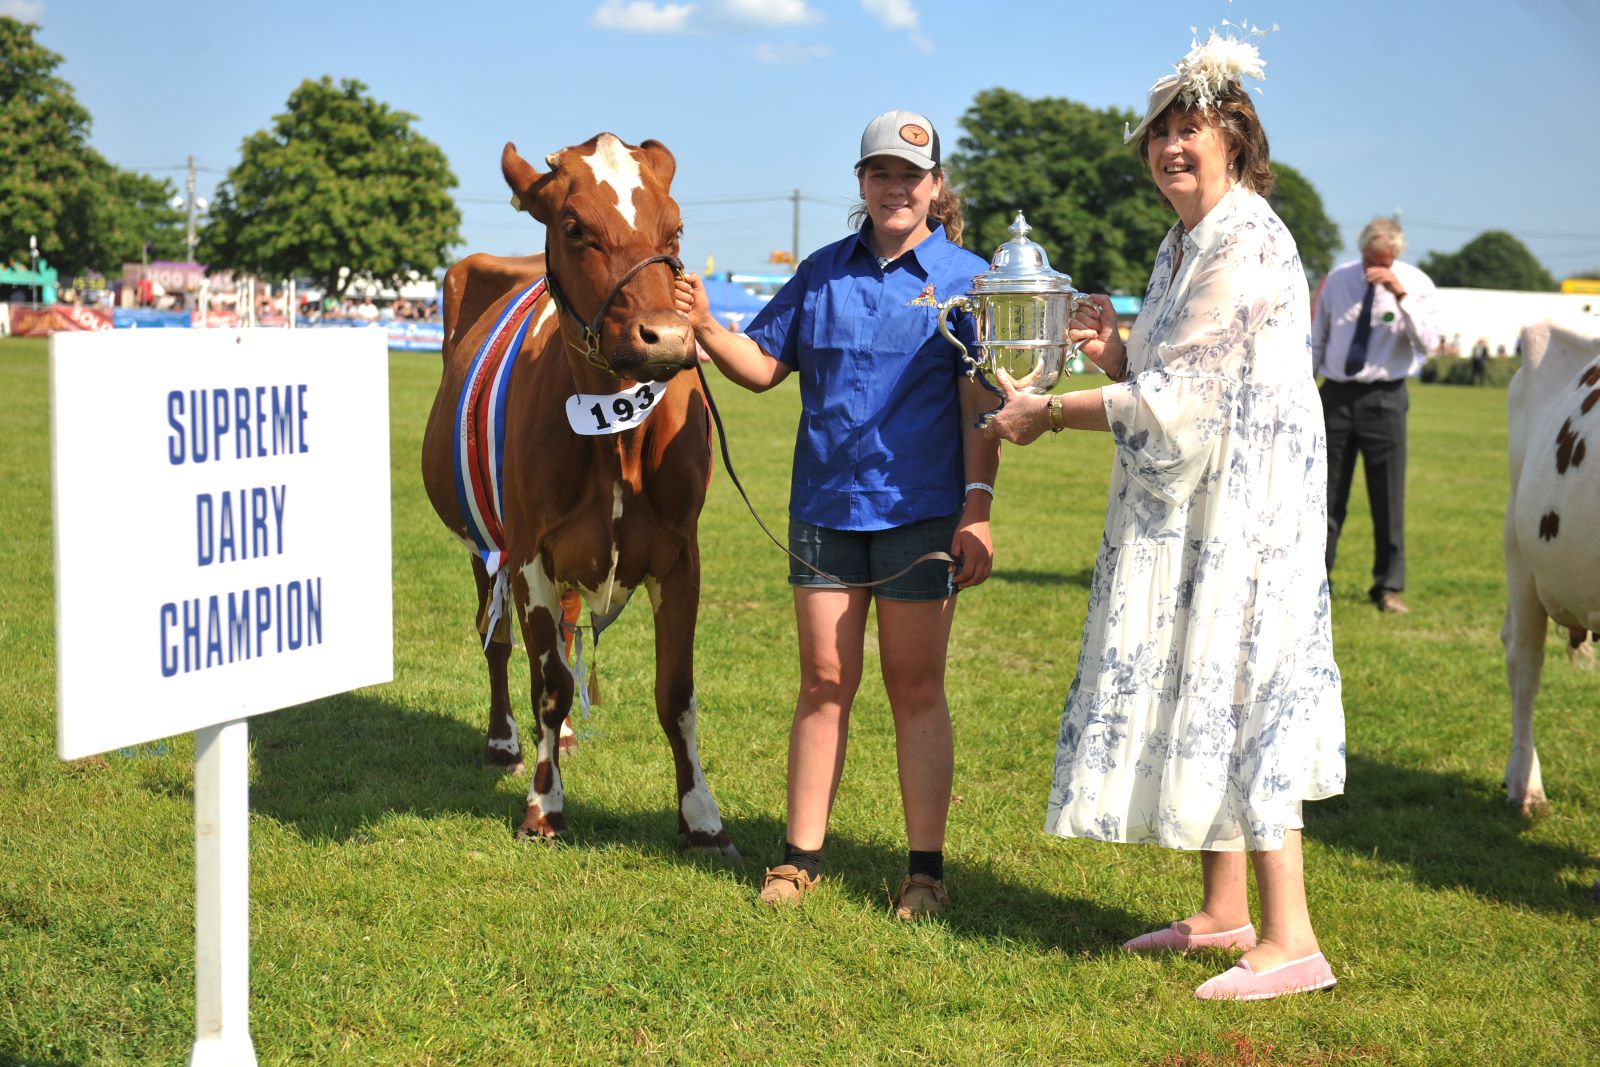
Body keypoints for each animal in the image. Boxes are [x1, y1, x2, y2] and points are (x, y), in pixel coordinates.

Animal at [416, 131, 732, 857]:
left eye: (675, 227)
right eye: (573, 226)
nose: (666, 337)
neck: (615, 439)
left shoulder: (682, 555)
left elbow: (676, 692)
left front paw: (701, 817)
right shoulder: (530, 552)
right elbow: (552, 683)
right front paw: (543, 804)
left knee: (558, 634)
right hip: (485, 544)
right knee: (503, 644)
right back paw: (507, 740)